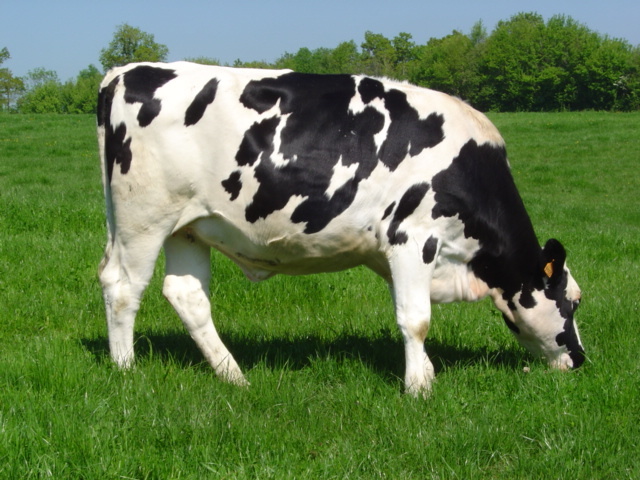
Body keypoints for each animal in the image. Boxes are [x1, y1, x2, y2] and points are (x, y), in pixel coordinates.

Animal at [97, 62, 584, 396]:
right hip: (144, 218)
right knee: (122, 286)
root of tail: (127, 71)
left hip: (189, 226)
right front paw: (418, 388)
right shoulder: (411, 238)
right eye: (574, 301)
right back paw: (126, 369)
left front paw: (424, 373)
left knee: (186, 295)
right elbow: (416, 318)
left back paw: (234, 376)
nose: (580, 360)